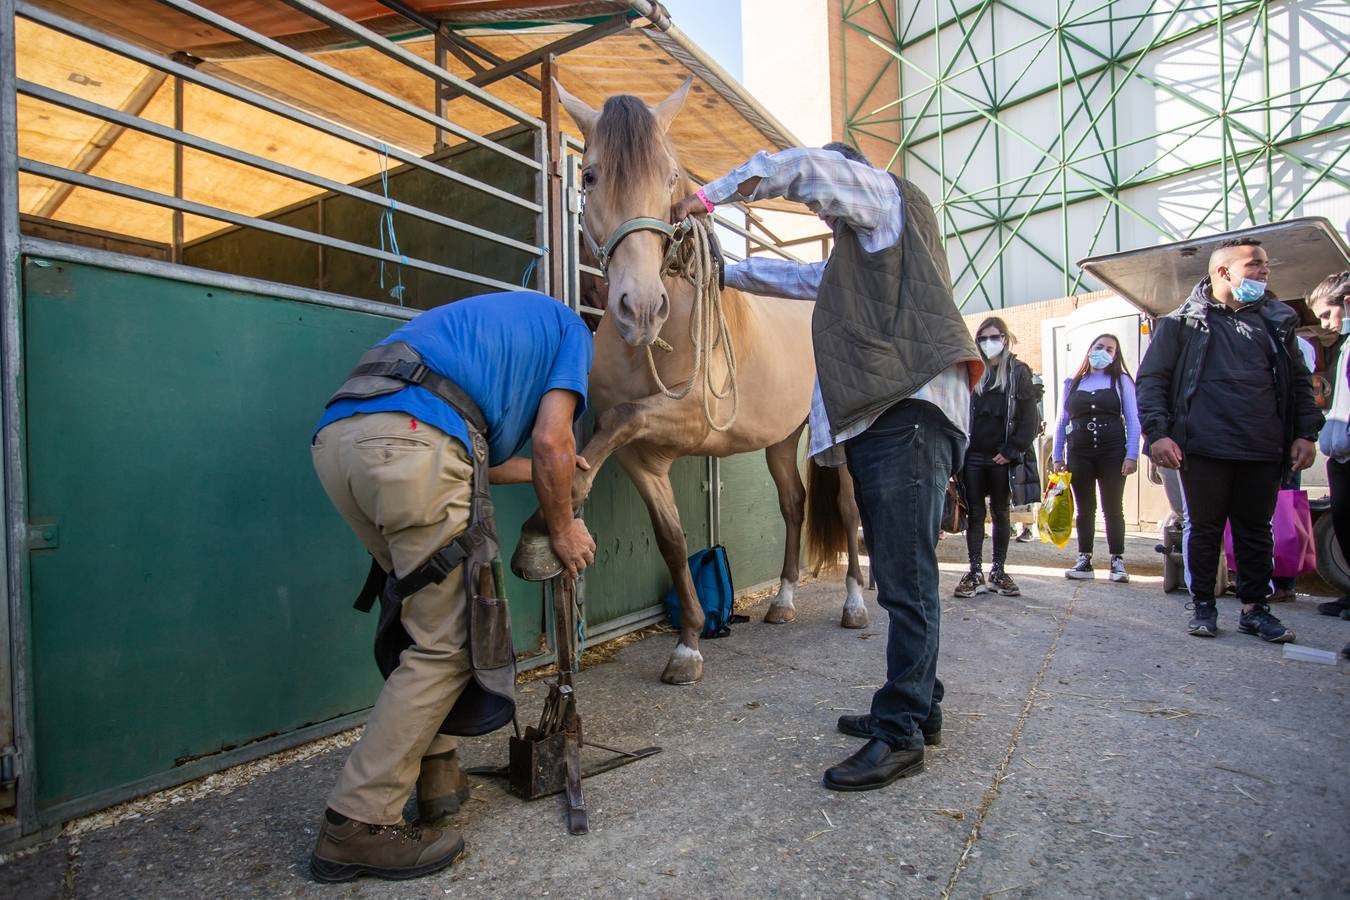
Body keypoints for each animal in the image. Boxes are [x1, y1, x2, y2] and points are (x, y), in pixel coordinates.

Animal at [518, 80, 864, 685]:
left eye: (669, 176)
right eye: (591, 175)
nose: (641, 308)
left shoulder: (692, 417)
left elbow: (619, 418)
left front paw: (548, 519)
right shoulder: (643, 458)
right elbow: (672, 540)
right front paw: (689, 642)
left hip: (833, 442)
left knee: (846, 506)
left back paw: (854, 604)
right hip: (780, 440)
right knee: (793, 504)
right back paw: (783, 601)